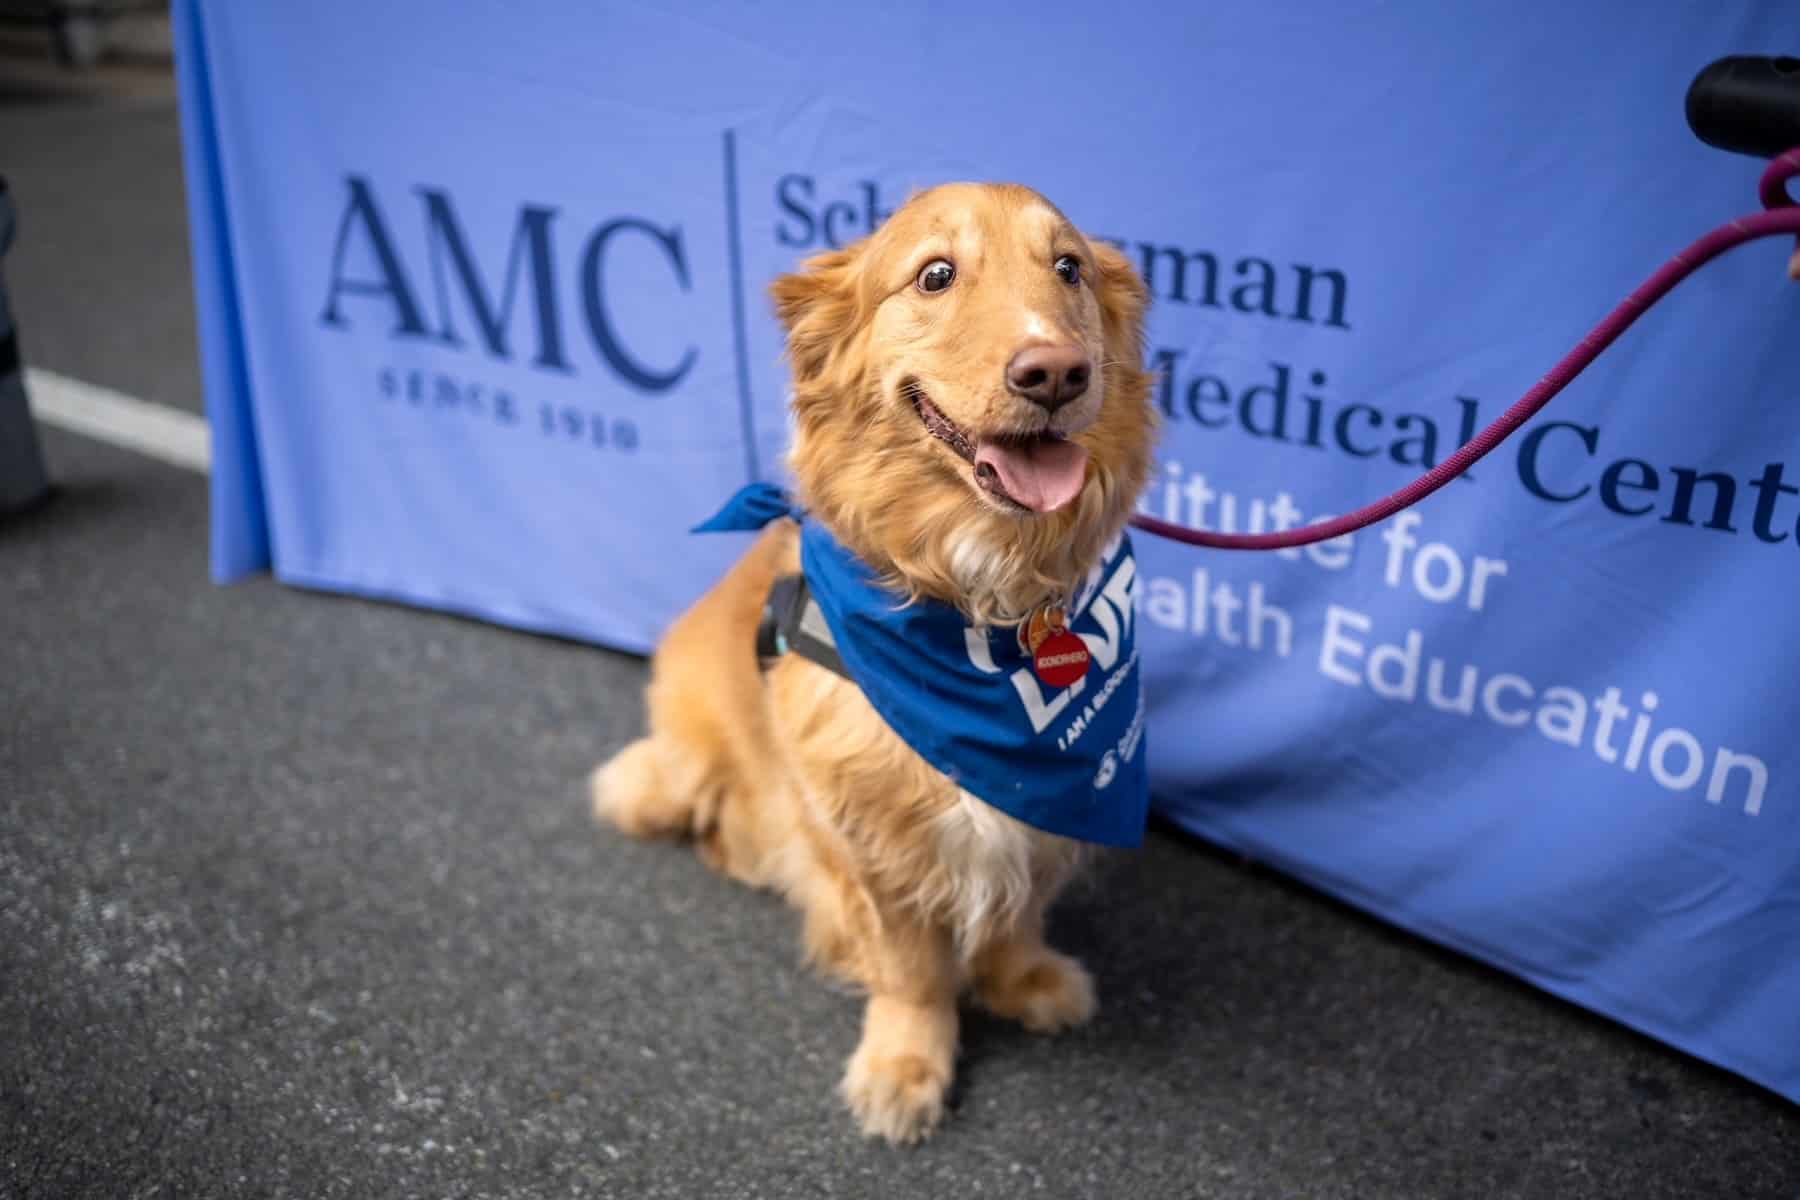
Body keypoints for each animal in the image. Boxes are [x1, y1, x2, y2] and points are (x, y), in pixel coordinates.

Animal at [590, 183, 1152, 1144]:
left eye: (1069, 267)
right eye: (935, 275)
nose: (1055, 373)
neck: (984, 604)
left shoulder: (1048, 813)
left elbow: (1017, 910)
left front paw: (1020, 978)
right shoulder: (872, 835)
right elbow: (914, 969)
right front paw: (906, 1062)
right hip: (672, 772)